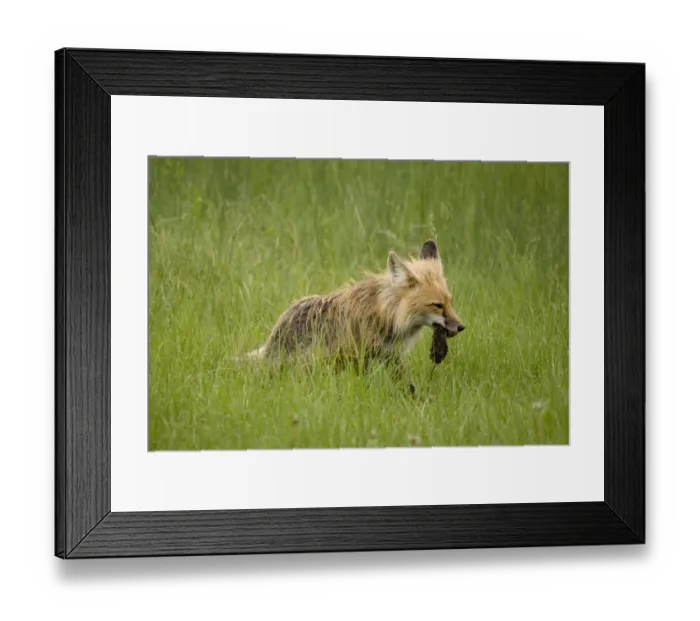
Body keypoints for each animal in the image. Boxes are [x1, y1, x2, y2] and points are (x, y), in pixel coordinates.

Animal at [241, 240, 463, 390]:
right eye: (437, 305)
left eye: (449, 302)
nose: (461, 327)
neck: (384, 313)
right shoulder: (362, 357)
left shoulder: (389, 355)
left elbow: (408, 386)